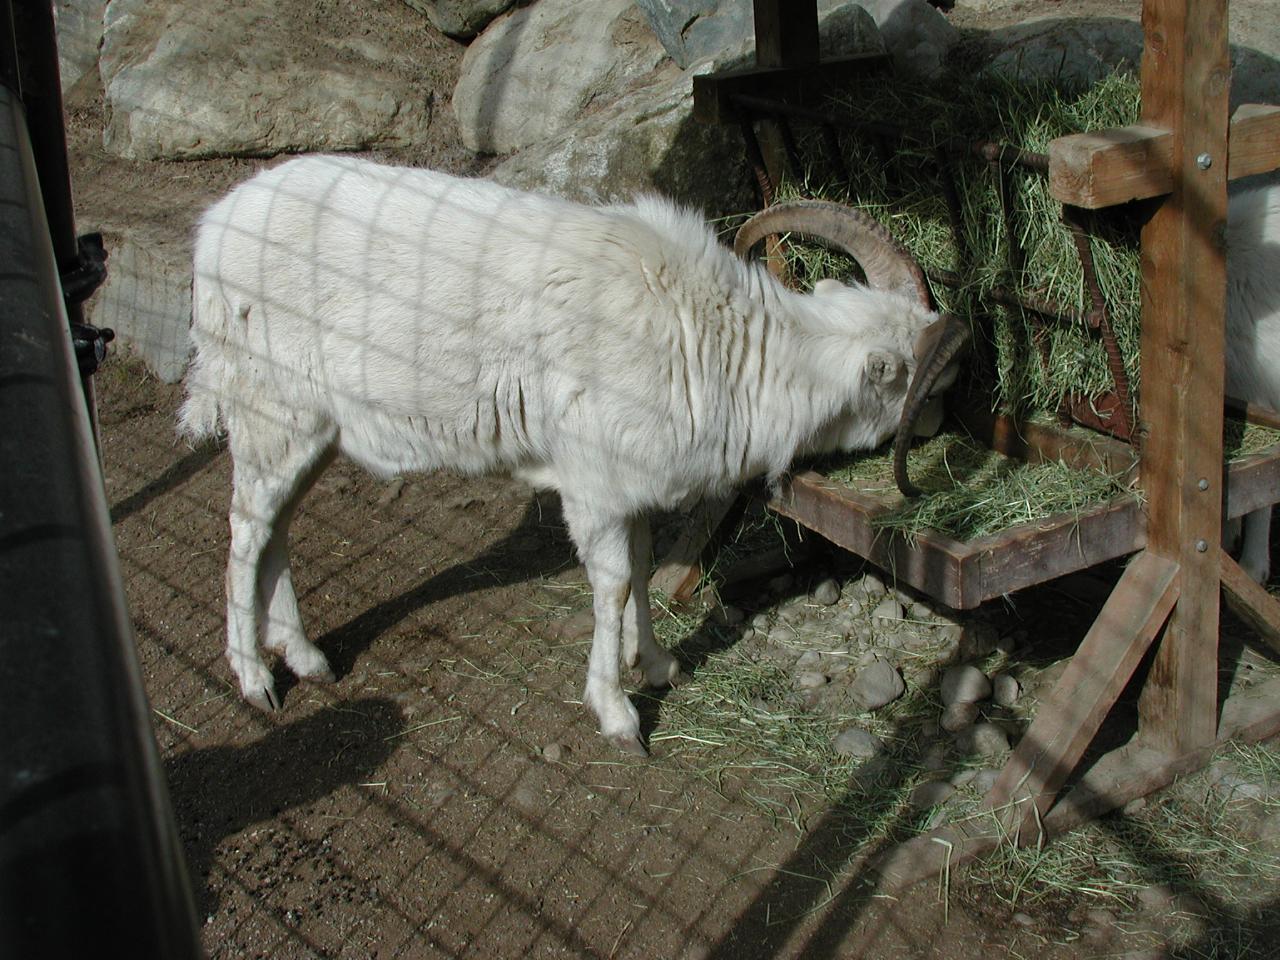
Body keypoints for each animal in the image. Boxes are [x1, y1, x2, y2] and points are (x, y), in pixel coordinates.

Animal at [177, 158, 962, 757]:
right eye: (929, 381)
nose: (940, 424)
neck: (715, 343)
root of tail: (213, 230)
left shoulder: (635, 485)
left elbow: (642, 567)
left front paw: (657, 664)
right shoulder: (595, 485)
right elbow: (612, 585)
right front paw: (617, 715)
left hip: (308, 430)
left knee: (276, 529)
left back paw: (307, 660)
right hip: (270, 408)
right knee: (246, 531)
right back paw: (256, 679)